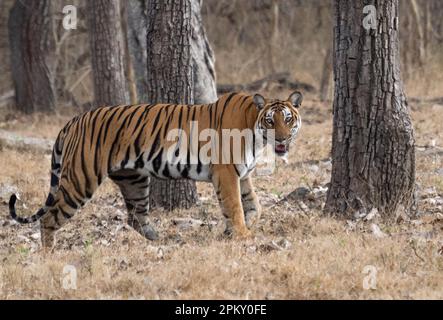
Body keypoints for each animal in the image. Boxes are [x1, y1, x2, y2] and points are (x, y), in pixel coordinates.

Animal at [8, 91, 304, 249]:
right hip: (81, 179)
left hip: (134, 180)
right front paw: (242, 234)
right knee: (50, 217)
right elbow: (234, 205)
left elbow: (252, 204)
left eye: (288, 120)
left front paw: (237, 229)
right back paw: (50, 255)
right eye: (271, 121)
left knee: (135, 217)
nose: (281, 139)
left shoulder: (242, 173)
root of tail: (73, 120)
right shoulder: (227, 172)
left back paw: (159, 239)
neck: (255, 130)